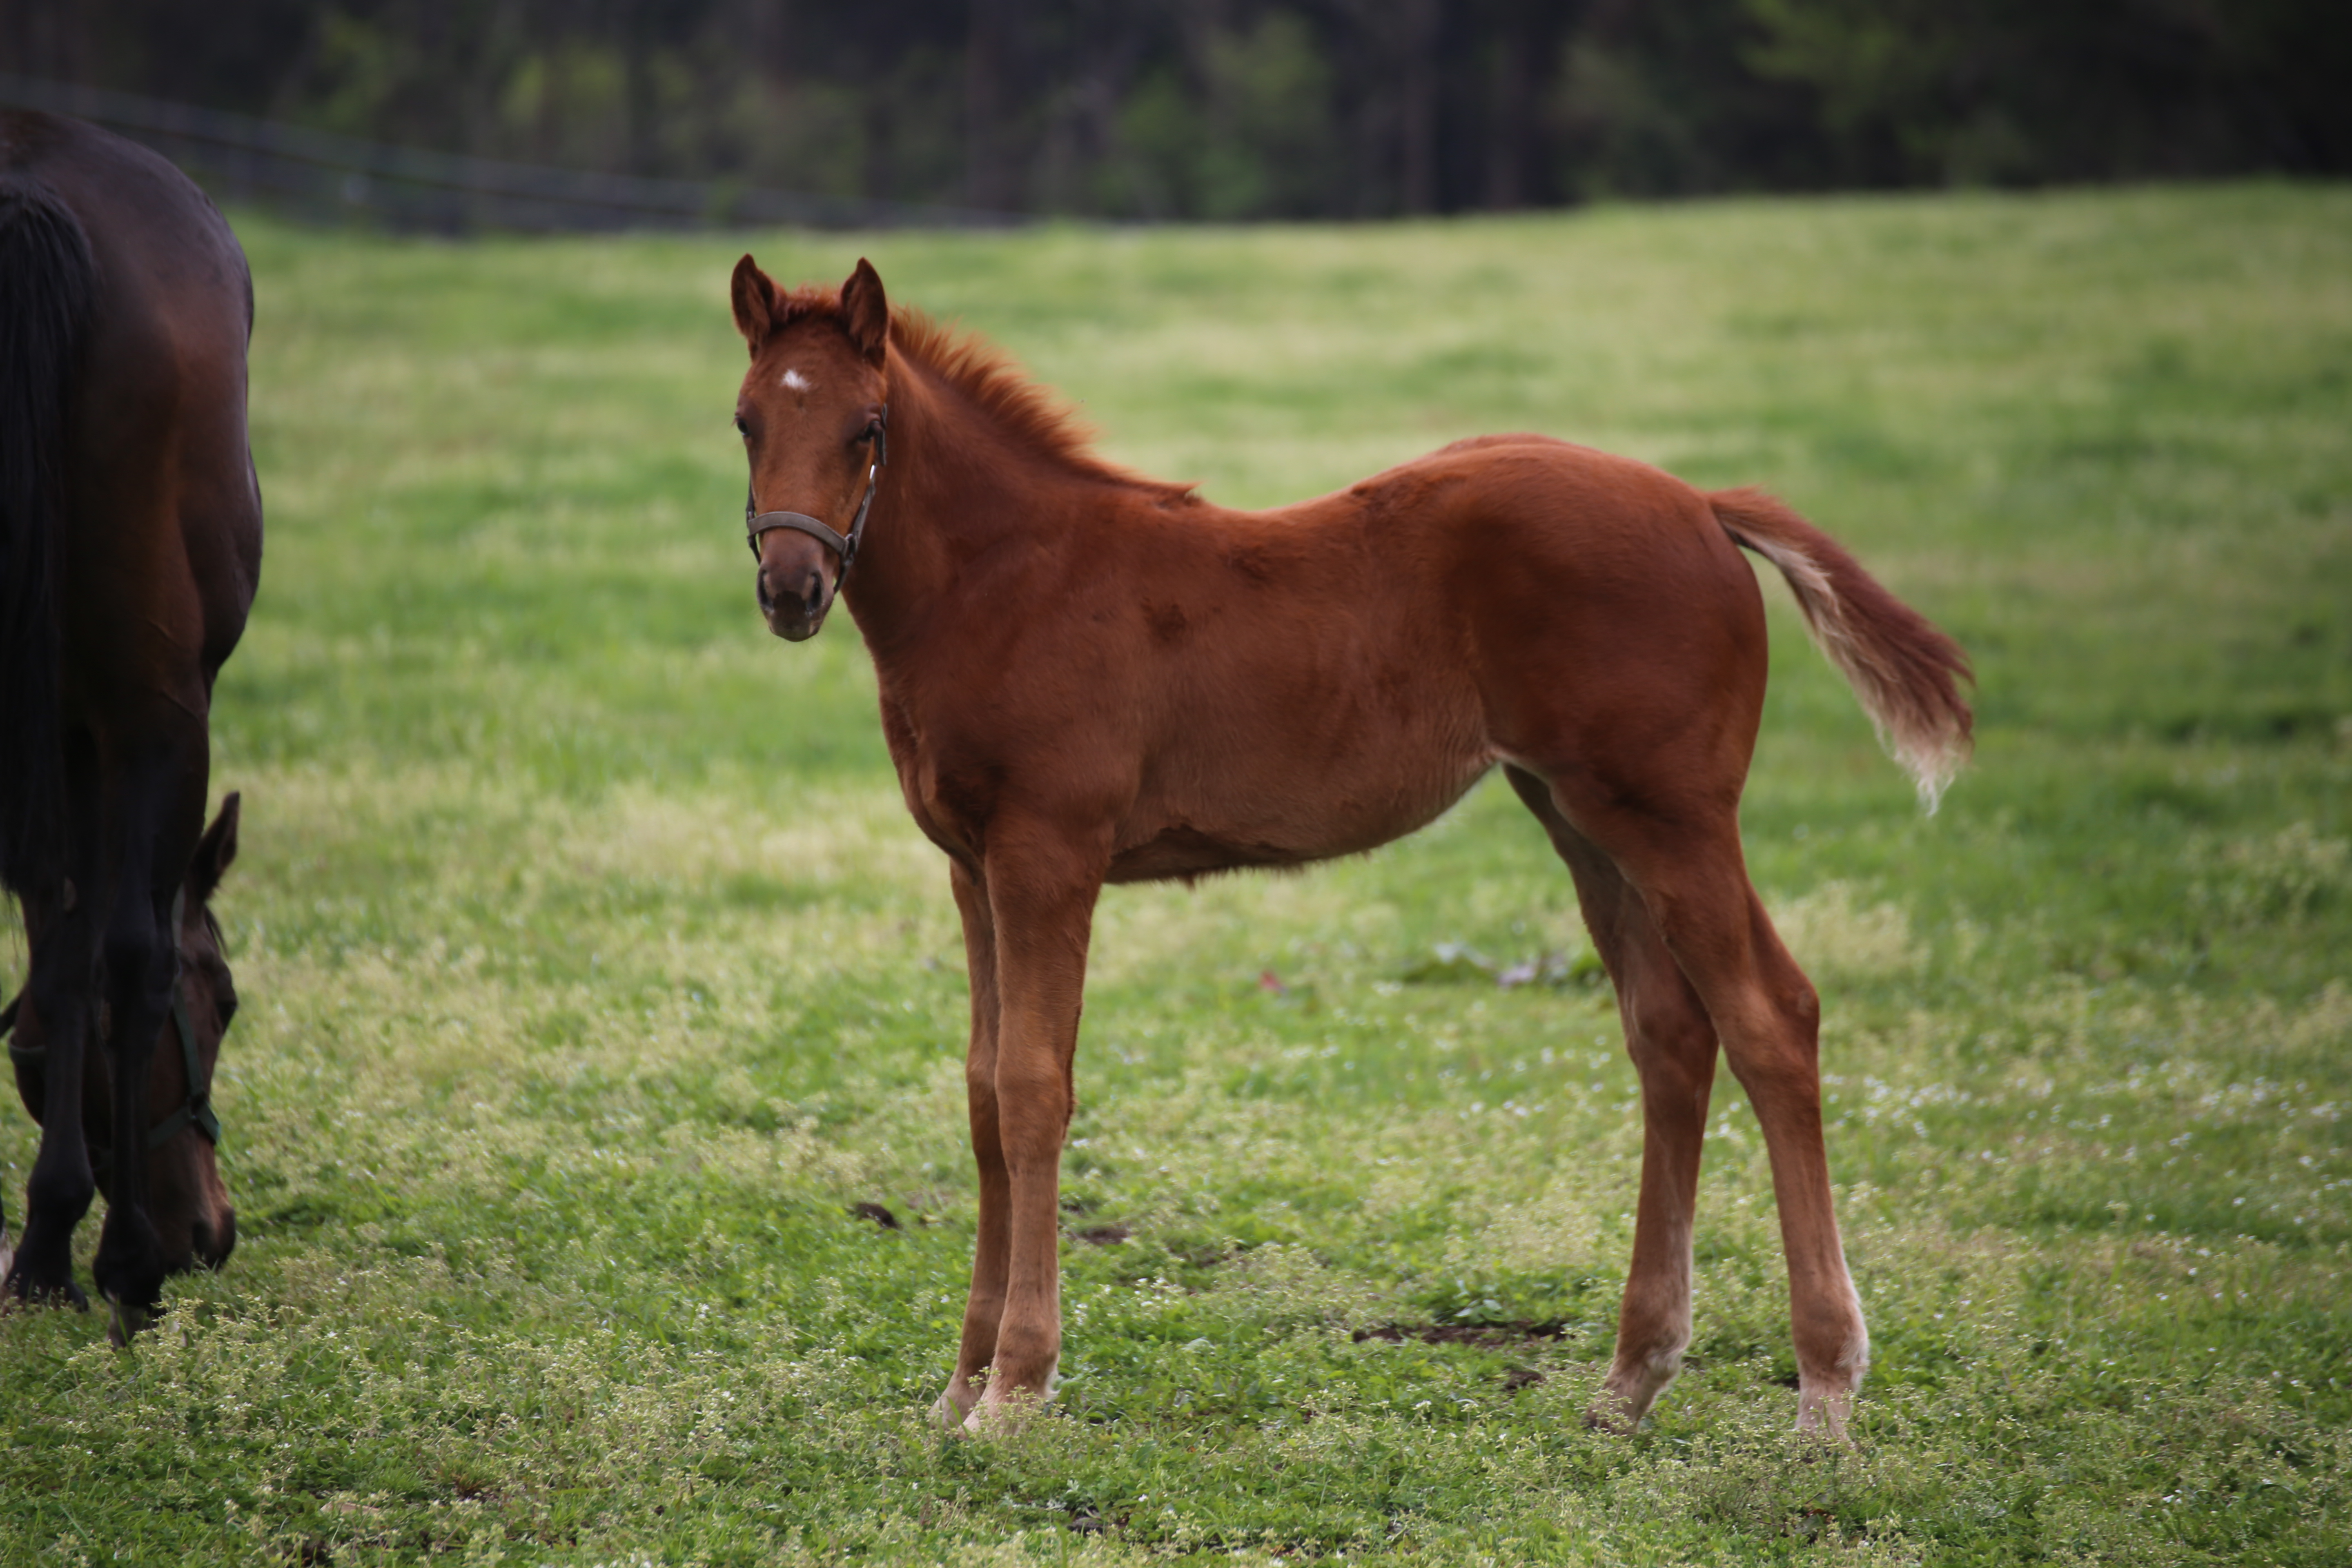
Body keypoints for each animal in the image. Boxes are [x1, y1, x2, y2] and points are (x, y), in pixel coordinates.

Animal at [719, 261, 1966, 1448]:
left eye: (867, 427)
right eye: (745, 420)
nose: (790, 589)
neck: (1010, 580)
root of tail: (1703, 505)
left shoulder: (1048, 854)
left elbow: (1034, 1090)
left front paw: (1017, 1390)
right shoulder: (970, 866)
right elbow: (982, 1091)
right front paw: (959, 1384)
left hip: (1675, 815)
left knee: (1771, 1018)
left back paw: (1825, 1393)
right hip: (1580, 815)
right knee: (1669, 1033)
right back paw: (1629, 1381)